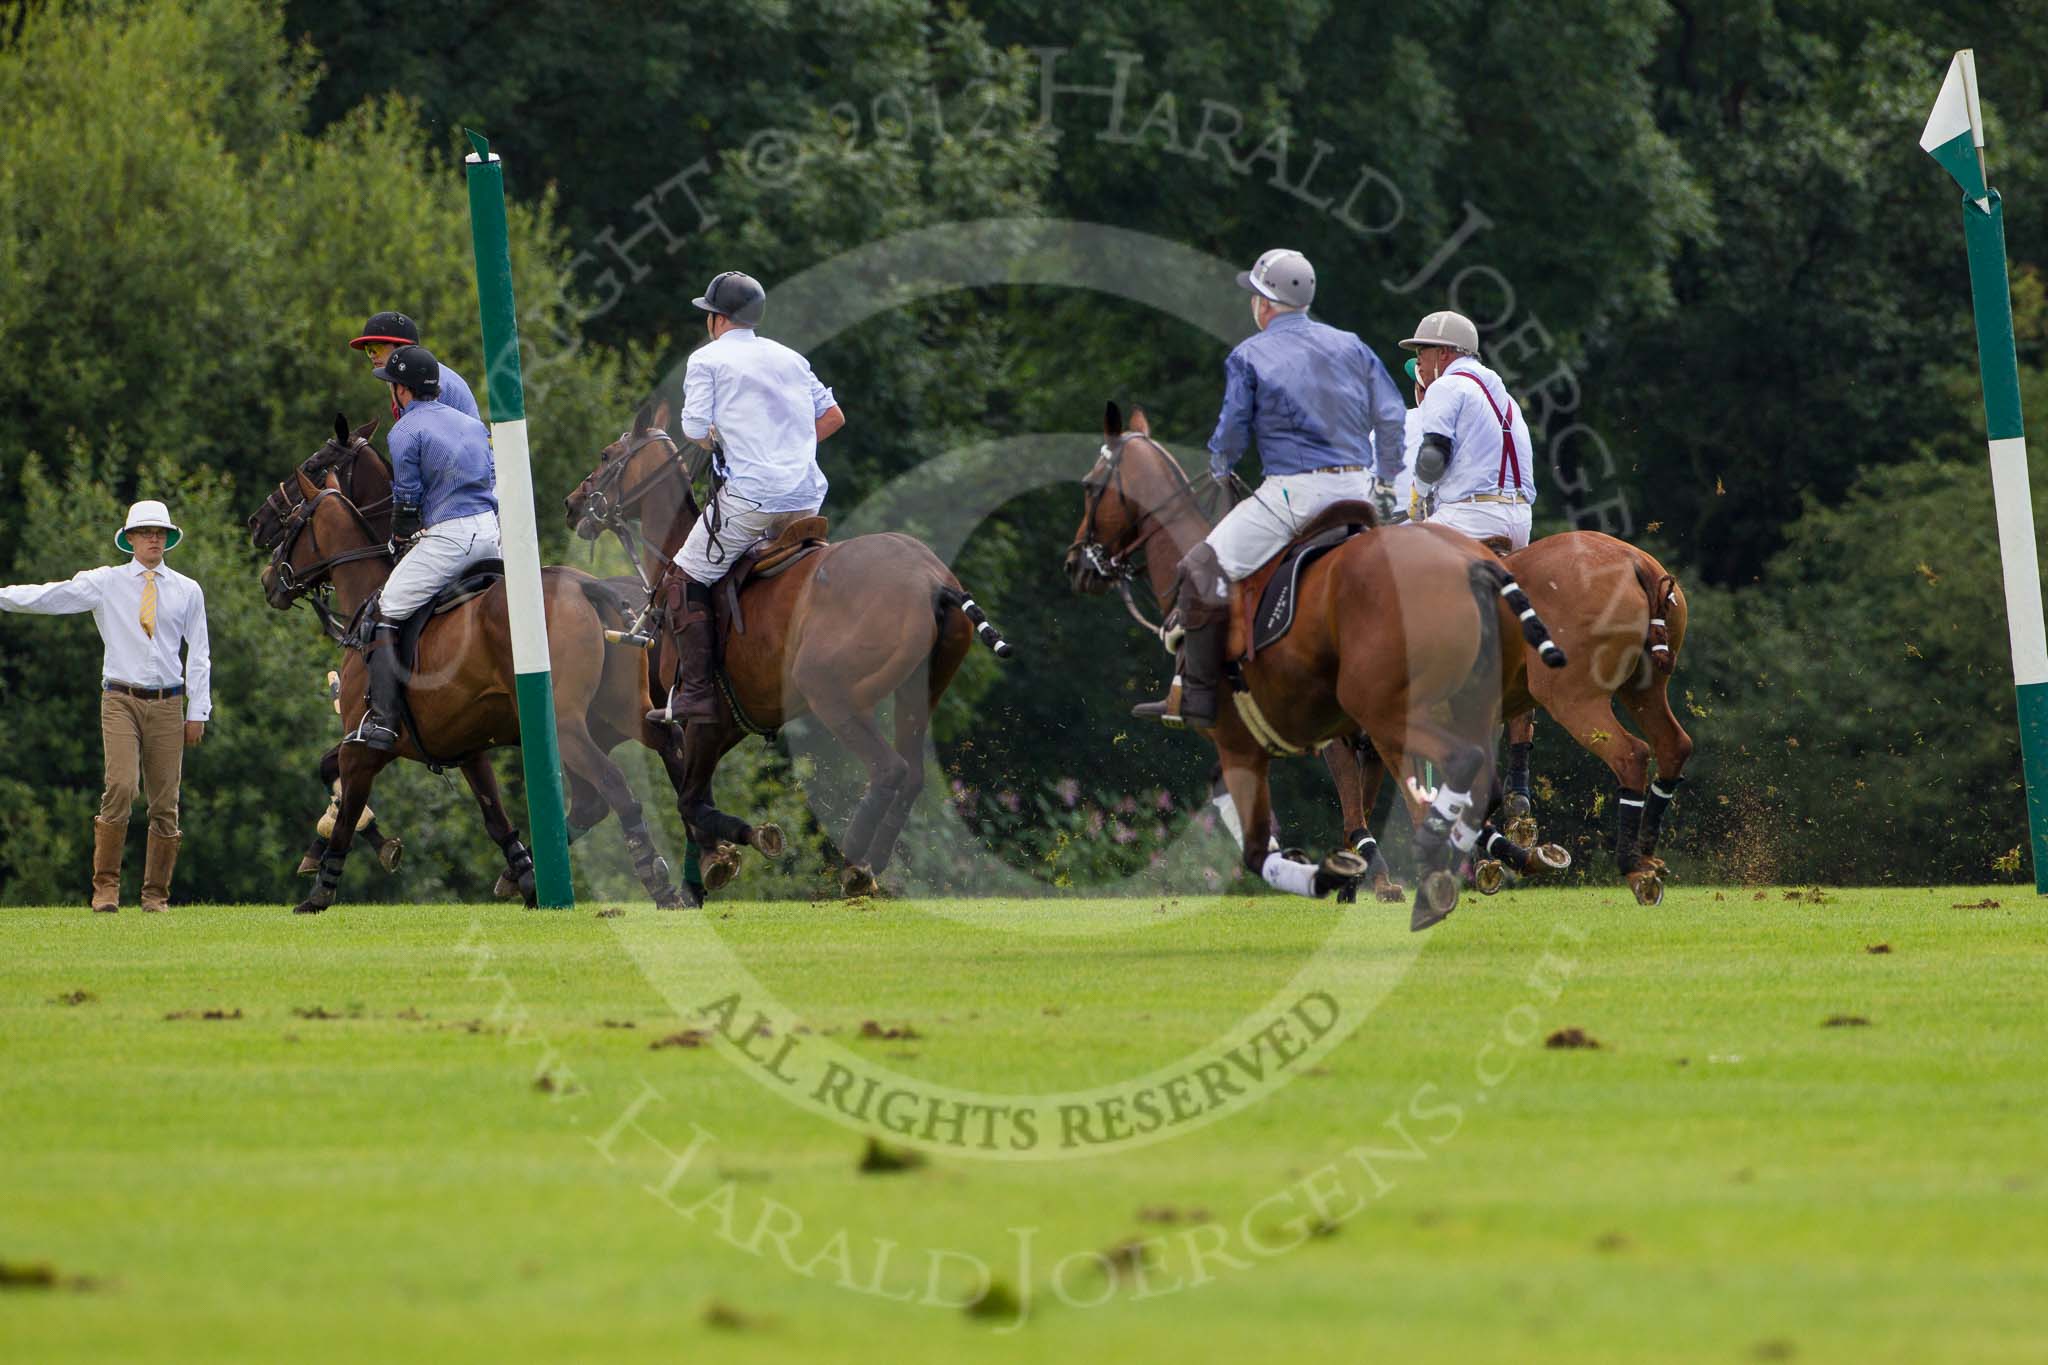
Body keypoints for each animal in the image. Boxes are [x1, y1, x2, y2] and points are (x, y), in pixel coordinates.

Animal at [250, 427, 684, 916]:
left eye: (293, 520)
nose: (267, 575)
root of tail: (587, 586)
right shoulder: (467, 748)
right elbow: (495, 818)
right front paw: (525, 878)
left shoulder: (364, 745)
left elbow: (344, 805)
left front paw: (321, 888)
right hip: (622, 710)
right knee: (660, 751)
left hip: (570, 726)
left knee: (612, 786)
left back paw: (661, 881)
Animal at [565, 394, 1011, 896]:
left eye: (606, 455)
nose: (572, 505)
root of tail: (935, 580)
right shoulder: (731, 719)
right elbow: (692, 799)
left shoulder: (699, 718)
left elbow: (690, 801)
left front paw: (745, 843)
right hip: (918, 689)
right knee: (913, 774)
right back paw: (871, 865)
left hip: (829, 691)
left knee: (890, 769)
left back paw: (853, 862)